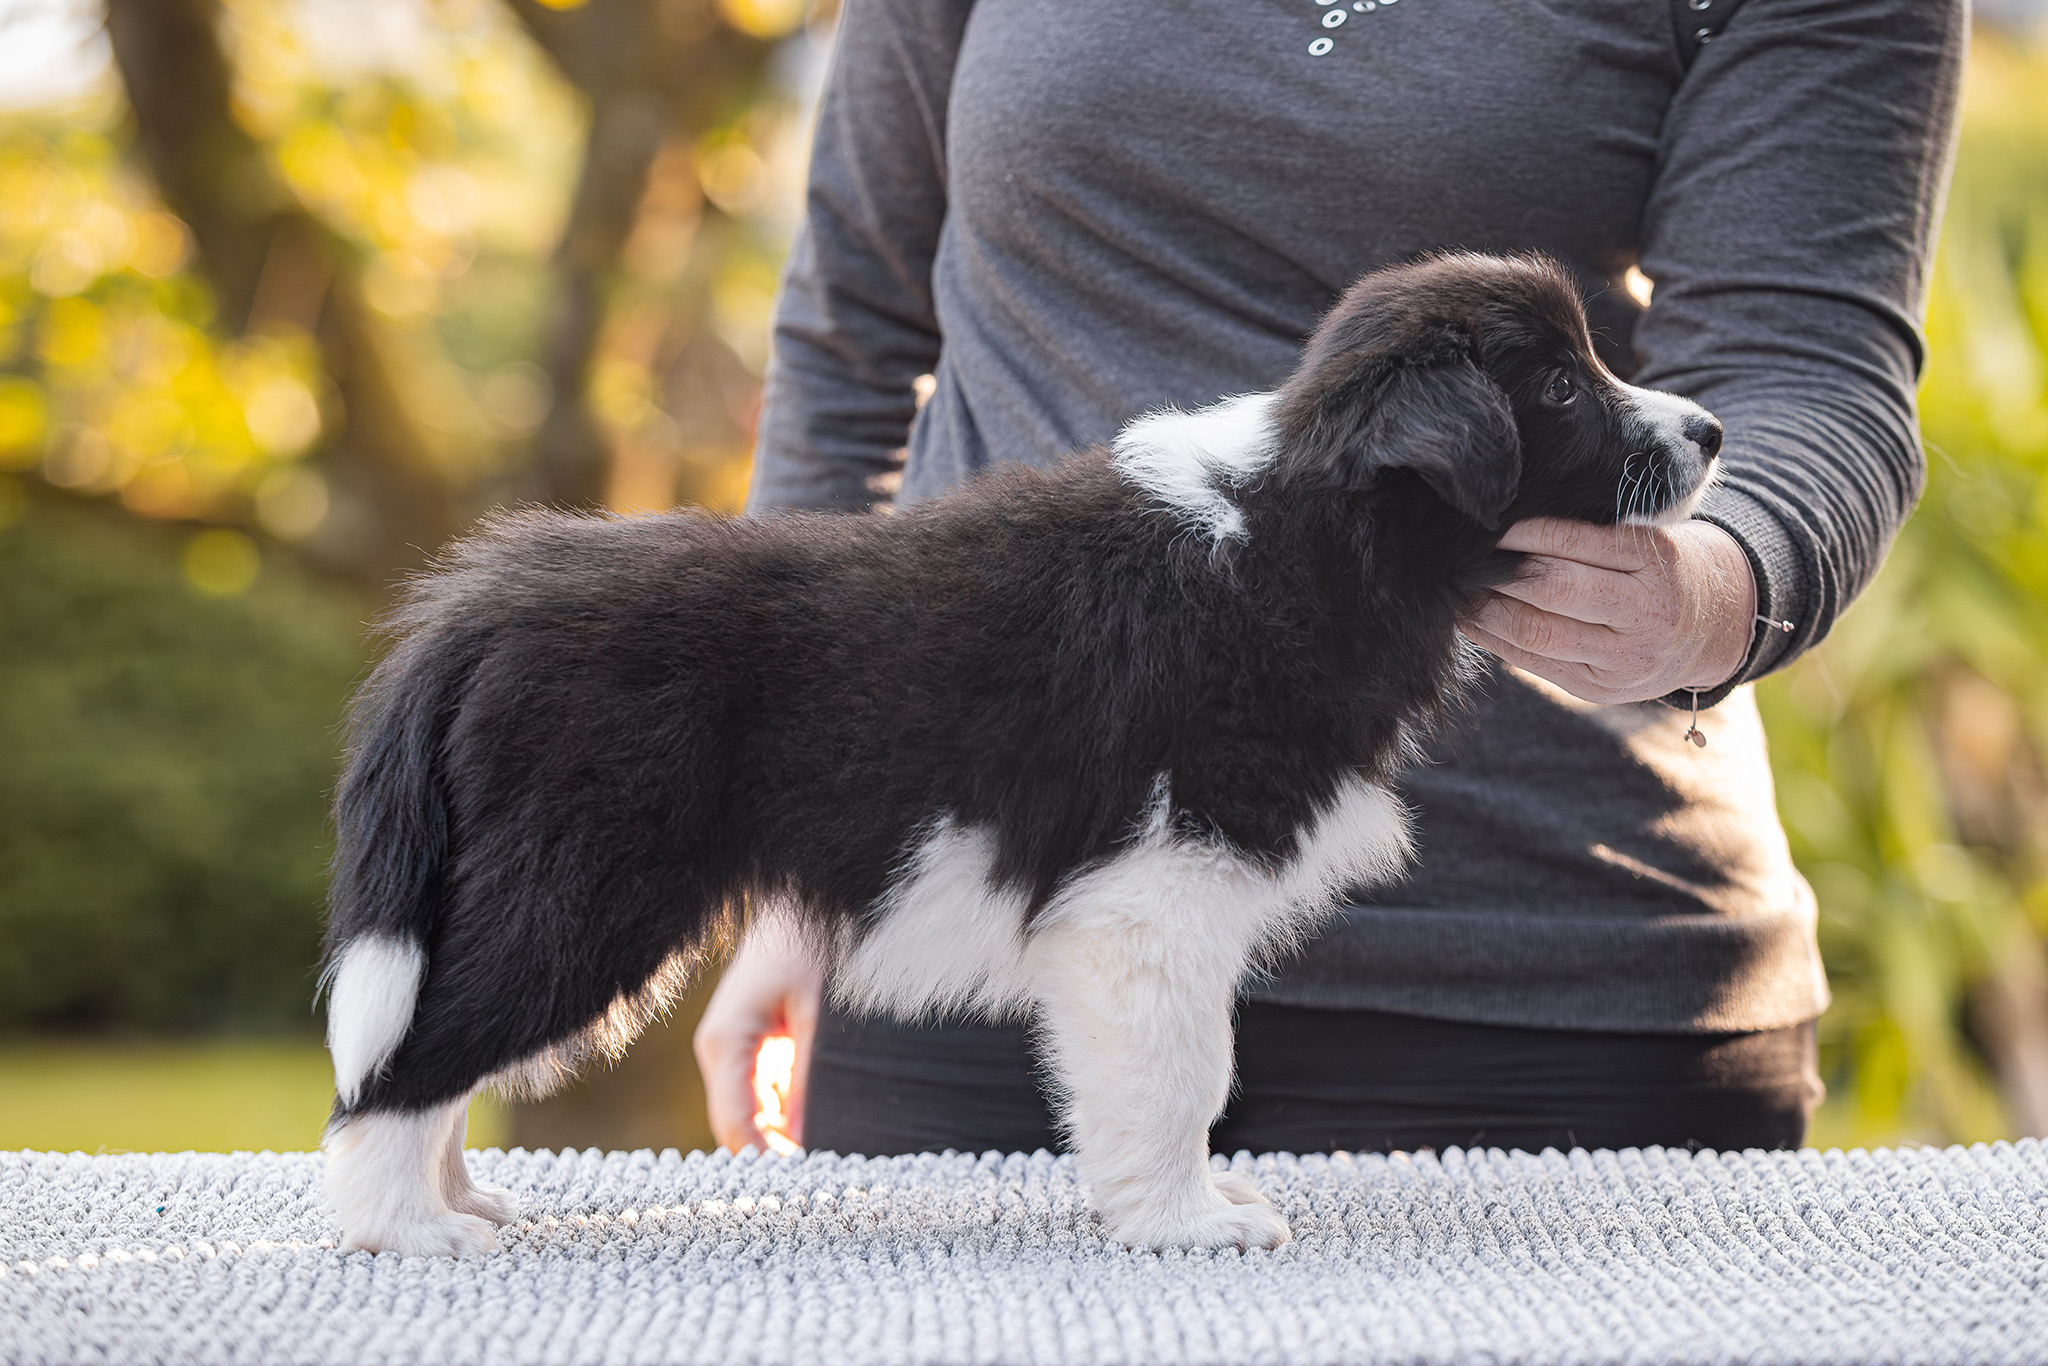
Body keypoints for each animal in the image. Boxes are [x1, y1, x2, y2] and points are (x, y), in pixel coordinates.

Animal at [323, 250, 1728, 1253]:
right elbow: (1183, 1069)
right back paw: (405, 1228)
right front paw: (1186, 1222)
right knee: (412, 1055)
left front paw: (1164, 1209)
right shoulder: (1157, 888)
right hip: (588, 881)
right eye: (1559, 388)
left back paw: (456, 1202)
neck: (1305, 527)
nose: (1709, 433)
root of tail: (486, 602)